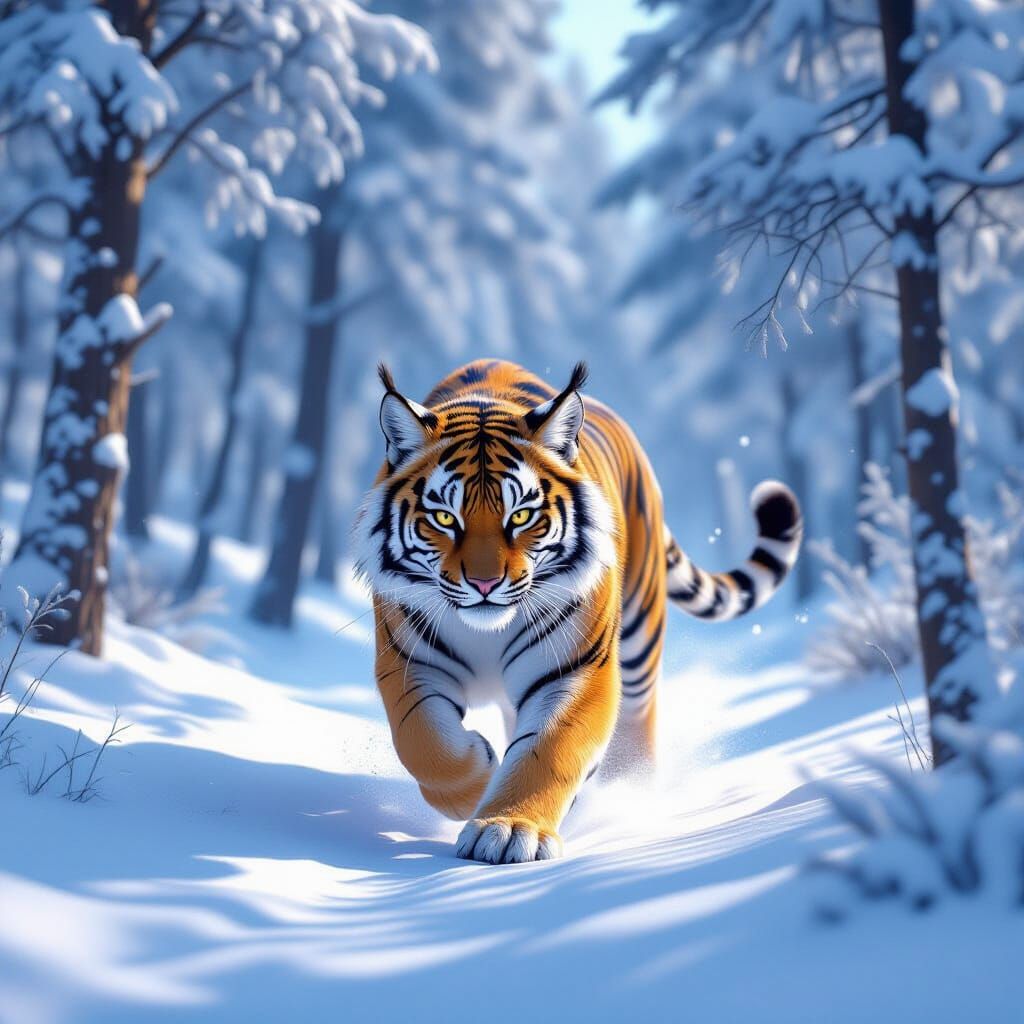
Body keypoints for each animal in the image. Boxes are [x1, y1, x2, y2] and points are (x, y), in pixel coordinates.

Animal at [354, 359, 801, 864]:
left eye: (521, 516)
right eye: (445, 518)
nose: (485, 584)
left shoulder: (577, 669)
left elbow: (549, 750)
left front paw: (510, 829)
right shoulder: (409, 663)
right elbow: (425, 743)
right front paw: (478, 782)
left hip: (639, 636)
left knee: (637, 720)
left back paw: (630, 794)